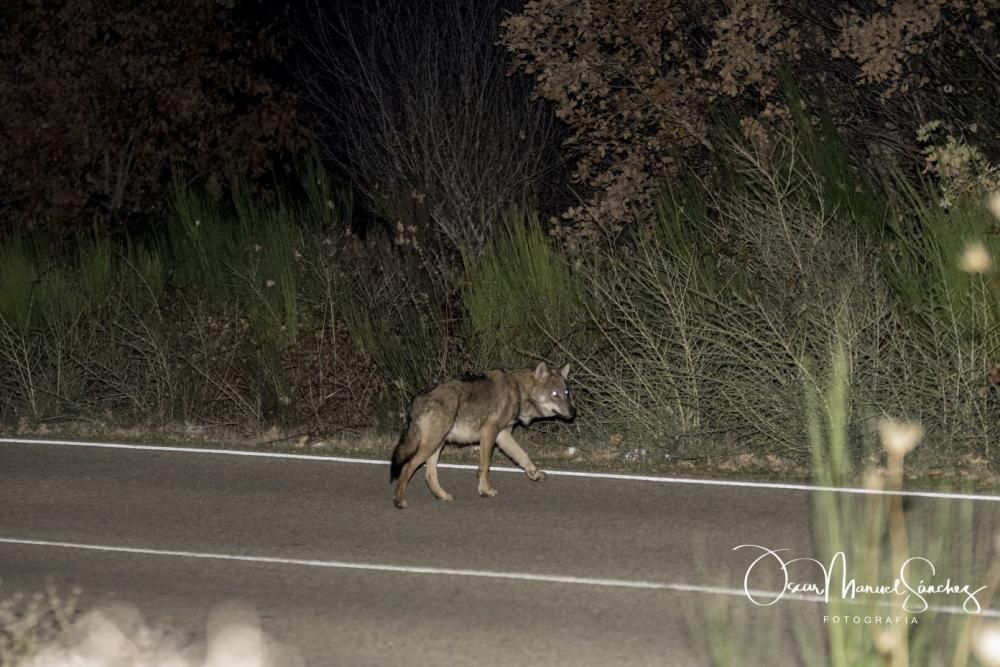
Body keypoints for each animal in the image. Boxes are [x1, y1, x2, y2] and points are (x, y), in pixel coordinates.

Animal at [392, 362, 580, 508]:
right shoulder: (490, 432)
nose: (573, 412)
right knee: (408, 467)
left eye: (567, 393)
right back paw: (399, 500)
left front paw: (534, 474)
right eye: (554, 394)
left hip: (437, 444)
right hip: (432, 443)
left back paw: (442, 496)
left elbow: (523, 456)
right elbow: (484, 466)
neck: (519, 391)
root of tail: (418, 396)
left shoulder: (503, 436)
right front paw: (485, 490)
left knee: (429, 475)